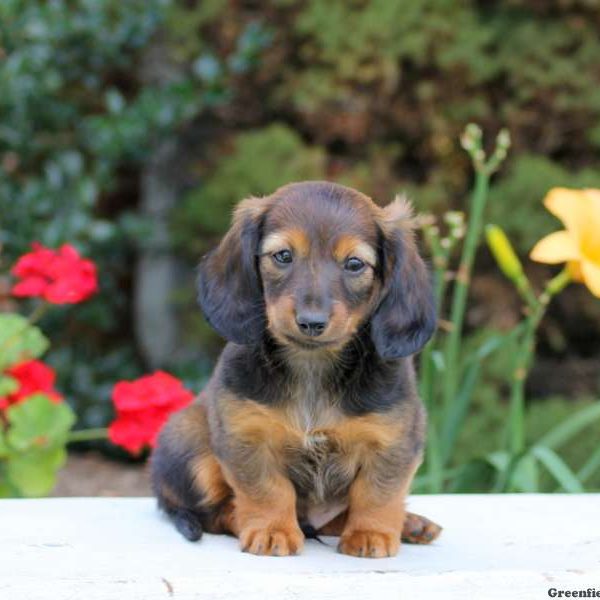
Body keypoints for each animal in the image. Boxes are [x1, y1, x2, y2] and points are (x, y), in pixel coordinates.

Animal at [150, 182, 440, 556]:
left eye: (354, 264)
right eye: (283, 256)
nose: (311, 322)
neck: (312, 368)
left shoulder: (394, 439)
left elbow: (377, 491)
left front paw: (370, 533)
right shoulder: (245, 434)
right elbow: (267, 489)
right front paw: (272, 530)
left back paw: (409, 524)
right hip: (189, 442)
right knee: (215, 512)